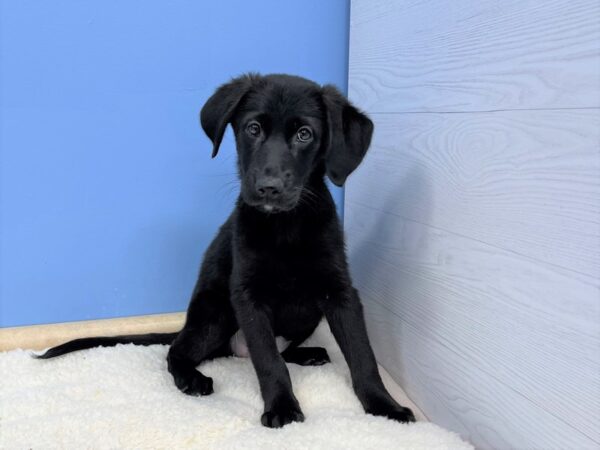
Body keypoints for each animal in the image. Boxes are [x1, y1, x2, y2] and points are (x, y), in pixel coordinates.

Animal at [36, 74, 412, 428]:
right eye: (253, 129)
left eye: (305, 134)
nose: (268, 188)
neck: (286, 227)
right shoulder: (247, 297)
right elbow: (269, 361)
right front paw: (282, 408)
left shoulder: (341, 292)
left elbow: (362, 355)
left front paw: (385, 406)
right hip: (215, 313)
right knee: (178, 351)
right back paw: (191, 378)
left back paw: (309, 354)